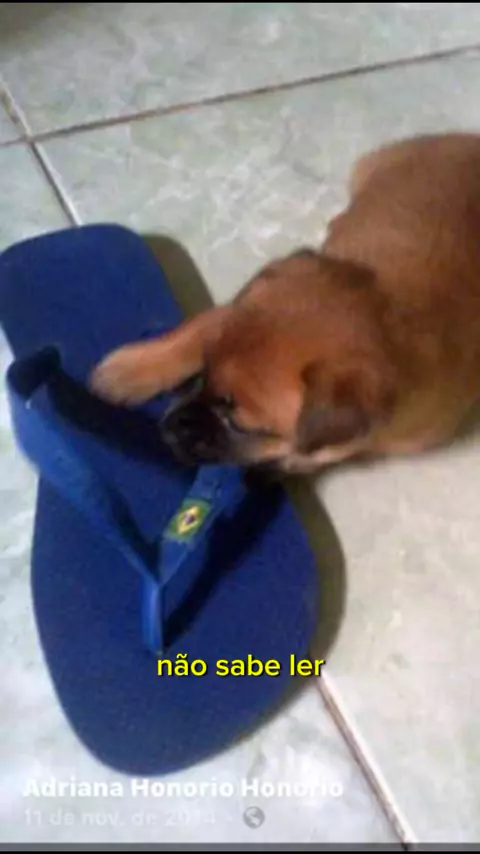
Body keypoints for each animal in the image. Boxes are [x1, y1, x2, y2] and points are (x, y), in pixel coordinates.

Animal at [90, 132, 480, 474]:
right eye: (205, 372)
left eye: (239, 424)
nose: (168, 425)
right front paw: (126, 372)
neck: (388, 315)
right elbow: (192, 333)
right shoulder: (232, 310)